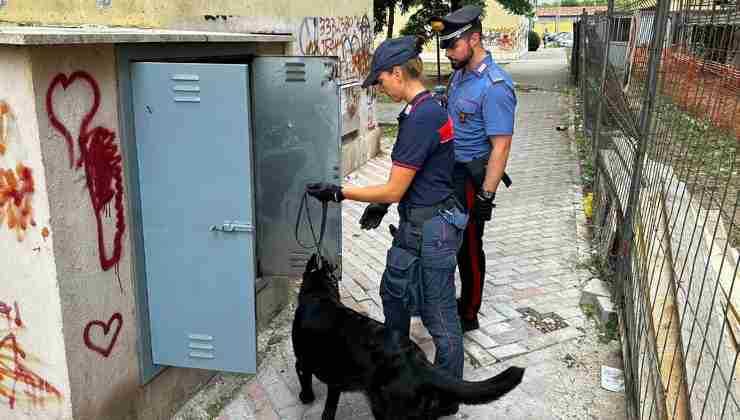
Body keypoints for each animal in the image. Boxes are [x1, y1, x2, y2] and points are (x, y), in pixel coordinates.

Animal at [292, 254, 524, 418]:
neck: (320, 294)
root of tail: (418, 361)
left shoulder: (302, 363)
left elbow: (306, 382)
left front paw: (306, 397)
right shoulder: (335, 382)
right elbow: (329, 409)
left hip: (387, 409)